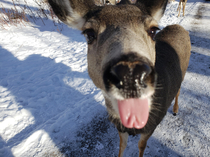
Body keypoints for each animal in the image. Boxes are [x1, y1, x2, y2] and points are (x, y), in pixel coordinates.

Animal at [47, 0, 190, 156]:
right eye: (89, 33)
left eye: (153, 30)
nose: (131, 73)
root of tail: (179, 26)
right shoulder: (120, 128)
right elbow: (122, 145)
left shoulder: (152, 125)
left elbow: (141, 146)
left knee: (179, 89)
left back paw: (175, 110)